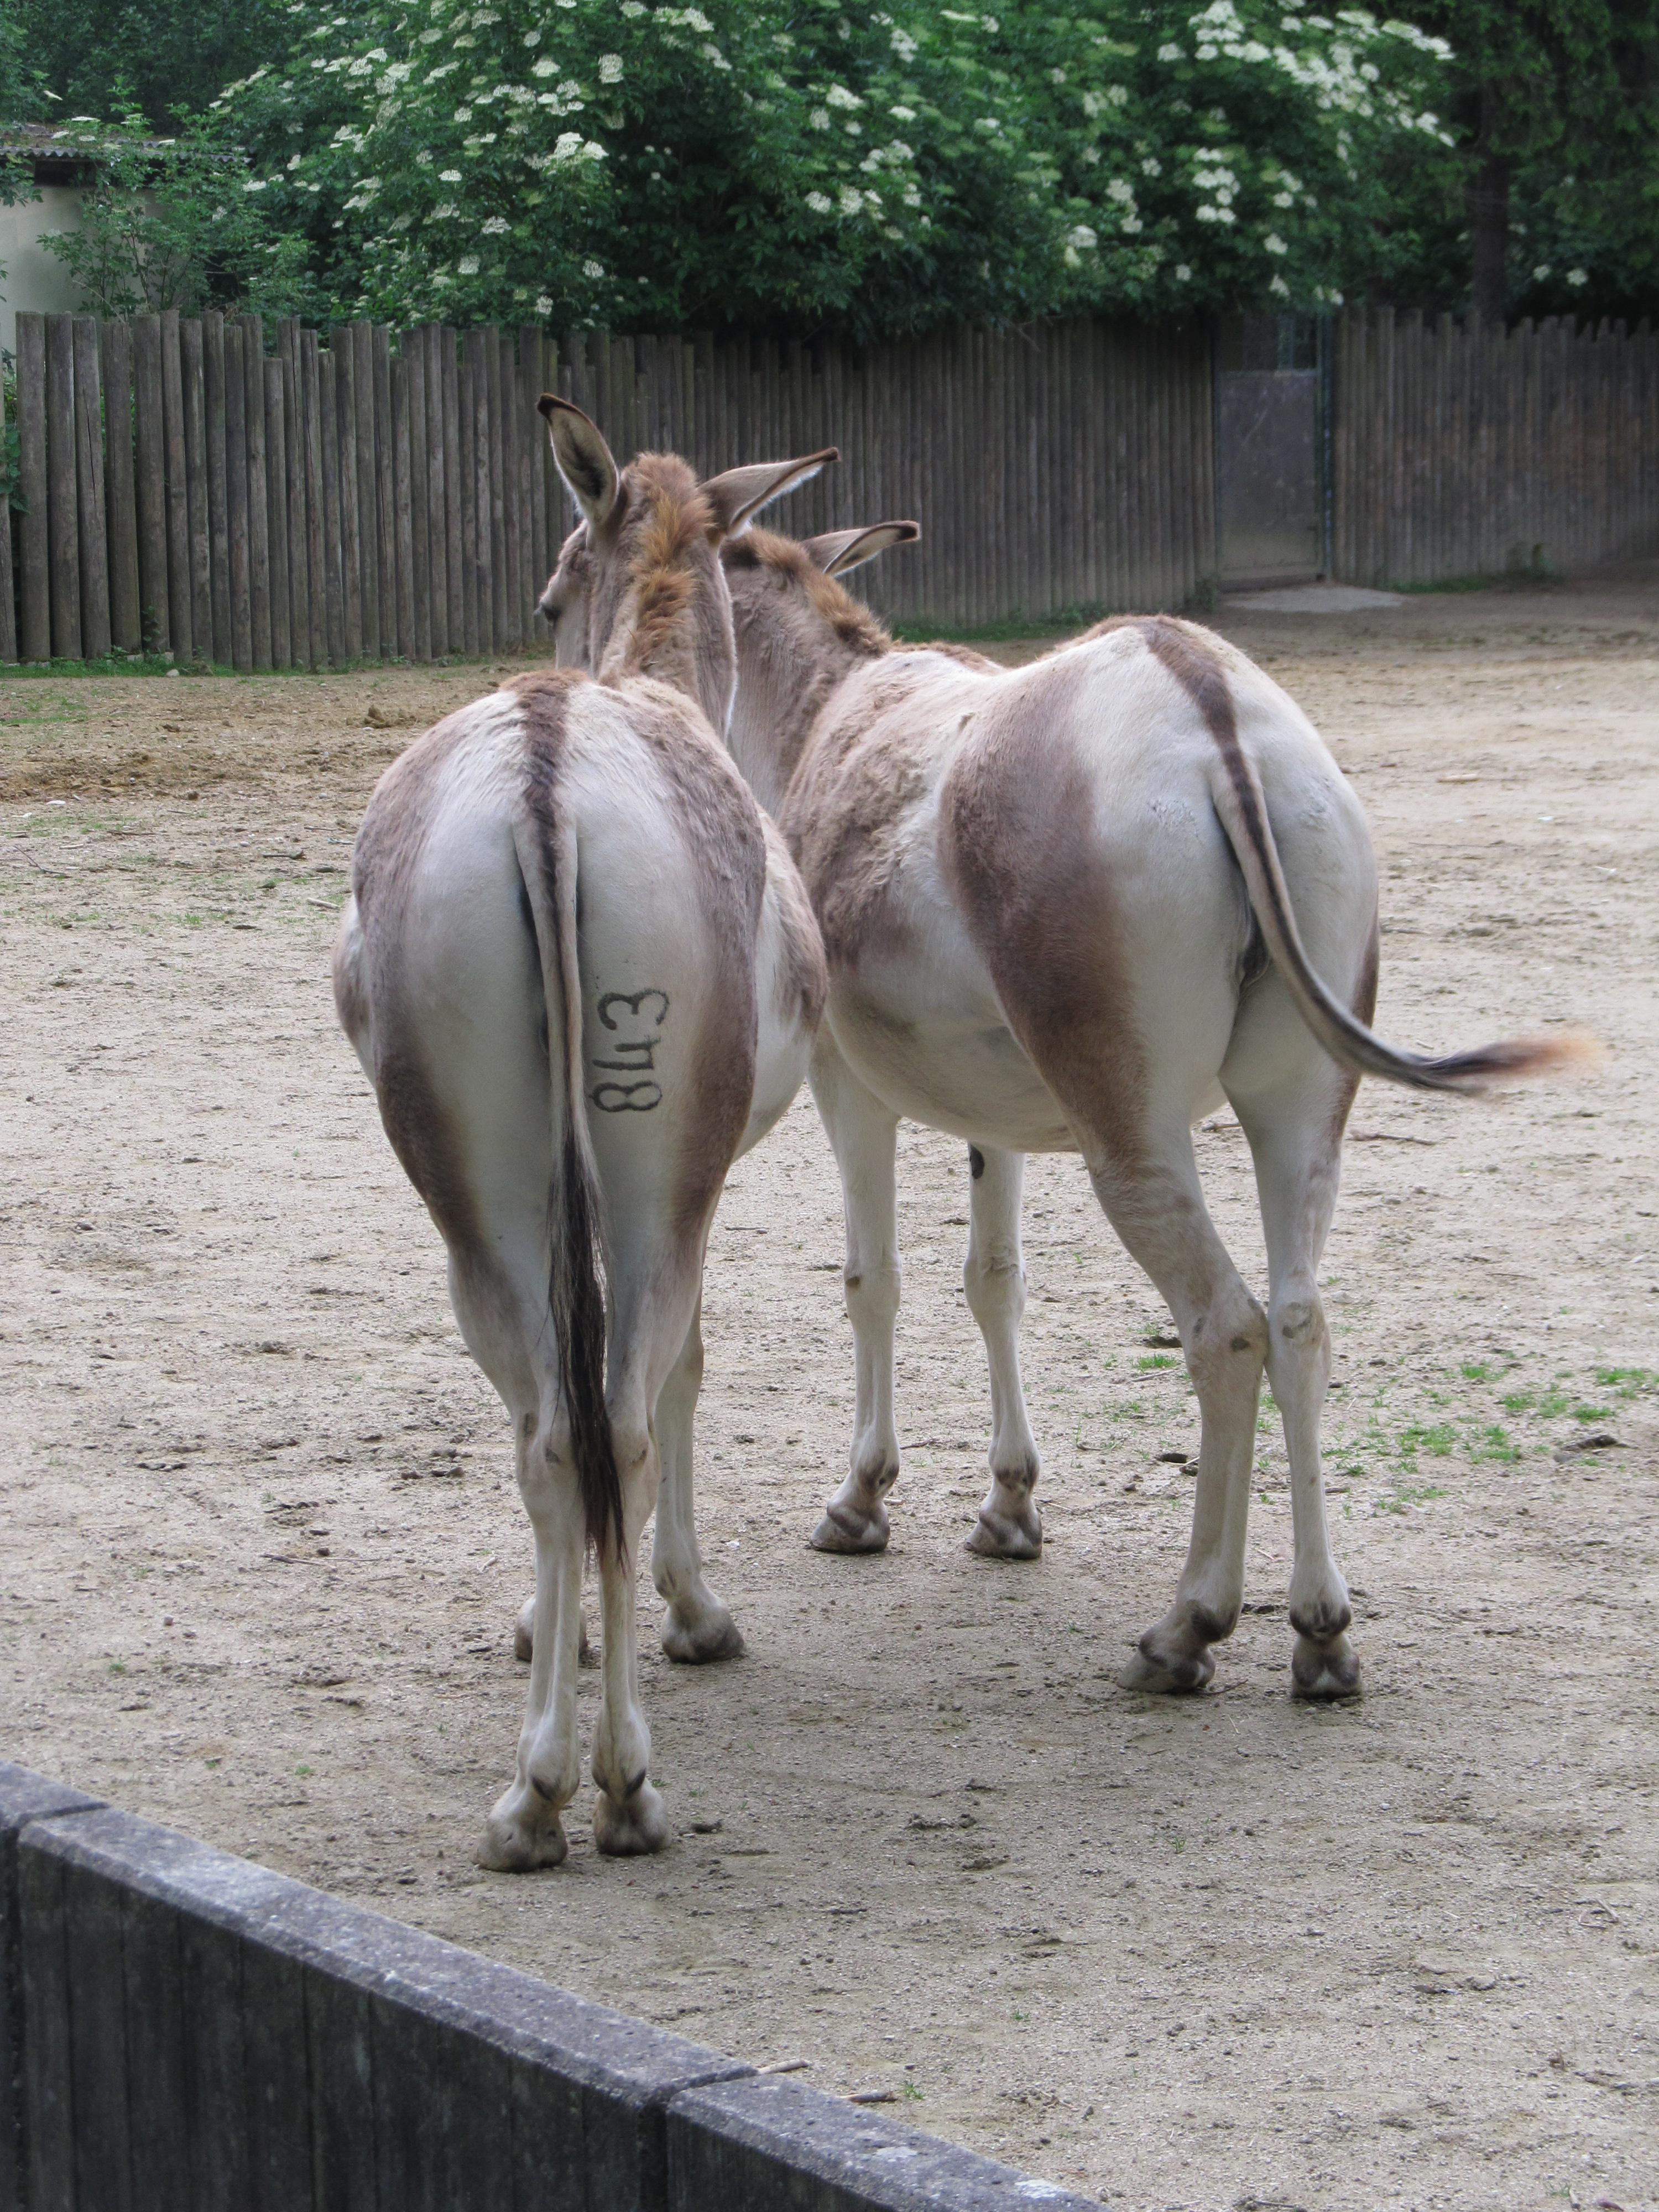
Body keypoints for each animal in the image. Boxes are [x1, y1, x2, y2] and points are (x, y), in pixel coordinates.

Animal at [333, 402, 827, 1870]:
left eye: (550, 591)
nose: (545, 630)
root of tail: (547, 777)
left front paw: (540, 1622)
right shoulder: (701, 1192)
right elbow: (682, 1374)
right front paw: (690, 1612)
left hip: (477, 1198)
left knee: (554, 1430)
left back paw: (537, 1793)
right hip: (657, 1187)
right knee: (615, 1420)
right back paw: (611, 1786)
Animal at [703, 515, 1590, 1701]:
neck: (830, 717)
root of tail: (1204, 698)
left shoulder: (852, 1091)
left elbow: (872, 1283)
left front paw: (860, 1503)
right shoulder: (998, 1121)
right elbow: (994, 1281)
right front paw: (1008, 1510)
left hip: (1133, 1136)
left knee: (1226, 1329)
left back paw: (1187, 1628)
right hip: (1300, 1111)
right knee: (1300, 1322)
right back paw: (1321, 1636)